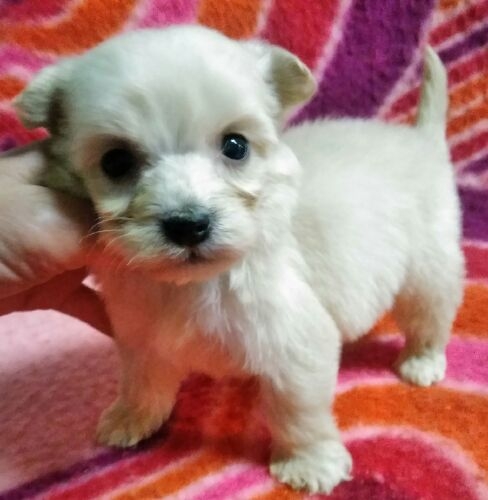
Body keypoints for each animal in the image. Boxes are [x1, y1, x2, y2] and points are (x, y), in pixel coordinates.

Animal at [14, 25, 464, 494]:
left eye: (236, 146)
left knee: (430, 314)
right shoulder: (142, 335)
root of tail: (420, 139)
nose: (189, 225)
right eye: (116, 161)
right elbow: (142, 381)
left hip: (429, 266)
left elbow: (299, 412)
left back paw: (422, 361)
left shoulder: (297, 345)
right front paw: (131, 417)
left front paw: (309, 463)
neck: (193, 284)